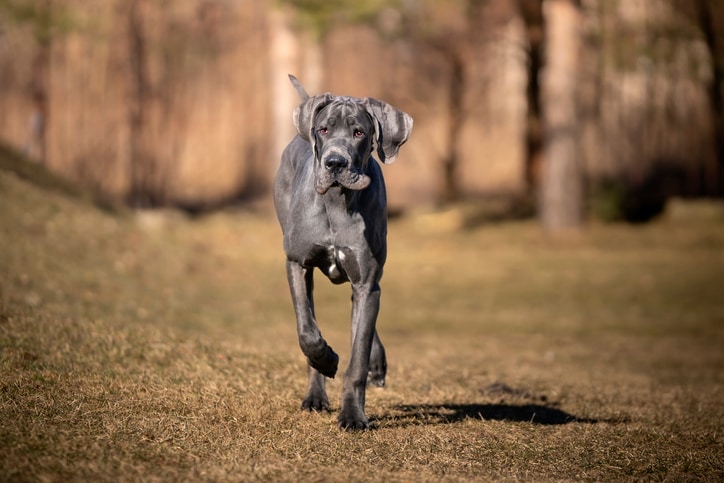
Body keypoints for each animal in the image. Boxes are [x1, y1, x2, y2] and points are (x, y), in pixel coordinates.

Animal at [272, 75, 412, 432]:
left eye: (359, 132)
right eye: (323, 130)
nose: (335, 162)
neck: (337, 202)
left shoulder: (366, 281)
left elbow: (358, 354)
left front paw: (352, 414)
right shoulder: (297, 264)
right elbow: (307, 331)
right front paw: (327, 360)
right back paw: (315, 395)